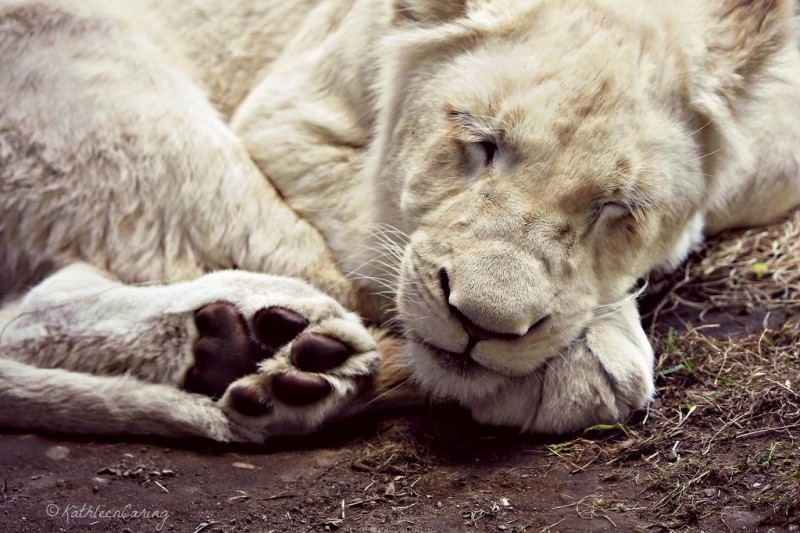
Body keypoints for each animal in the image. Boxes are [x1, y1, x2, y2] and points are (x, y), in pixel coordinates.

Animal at [1, 0, 800, 440]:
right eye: (479, 142)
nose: (481, 324)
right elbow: (388, 246)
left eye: (616, 209)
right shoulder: (288, 120)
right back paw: (288, 355)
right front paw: (585, 363)